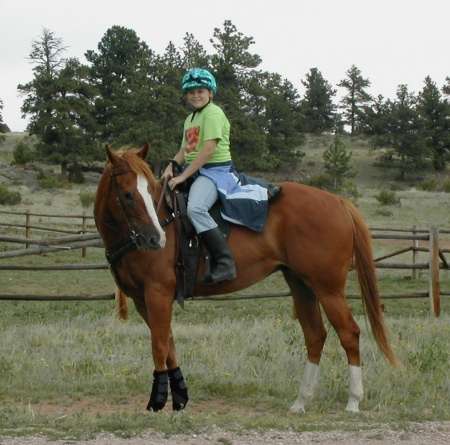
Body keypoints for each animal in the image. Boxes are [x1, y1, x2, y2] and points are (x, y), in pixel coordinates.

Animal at [94, 144, 398, 414]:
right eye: (128, 194)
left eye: (147, 191)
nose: (156, 239)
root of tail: (338, 201)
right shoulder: (143, 300)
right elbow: (169, 344)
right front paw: (179, 399)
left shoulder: (158, 294)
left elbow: (159, 346)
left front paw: (158, 402)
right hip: (302, 285)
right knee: (315, 335)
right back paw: (301, 401)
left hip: (328, 289)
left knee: (349, 333)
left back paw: (353, 401)